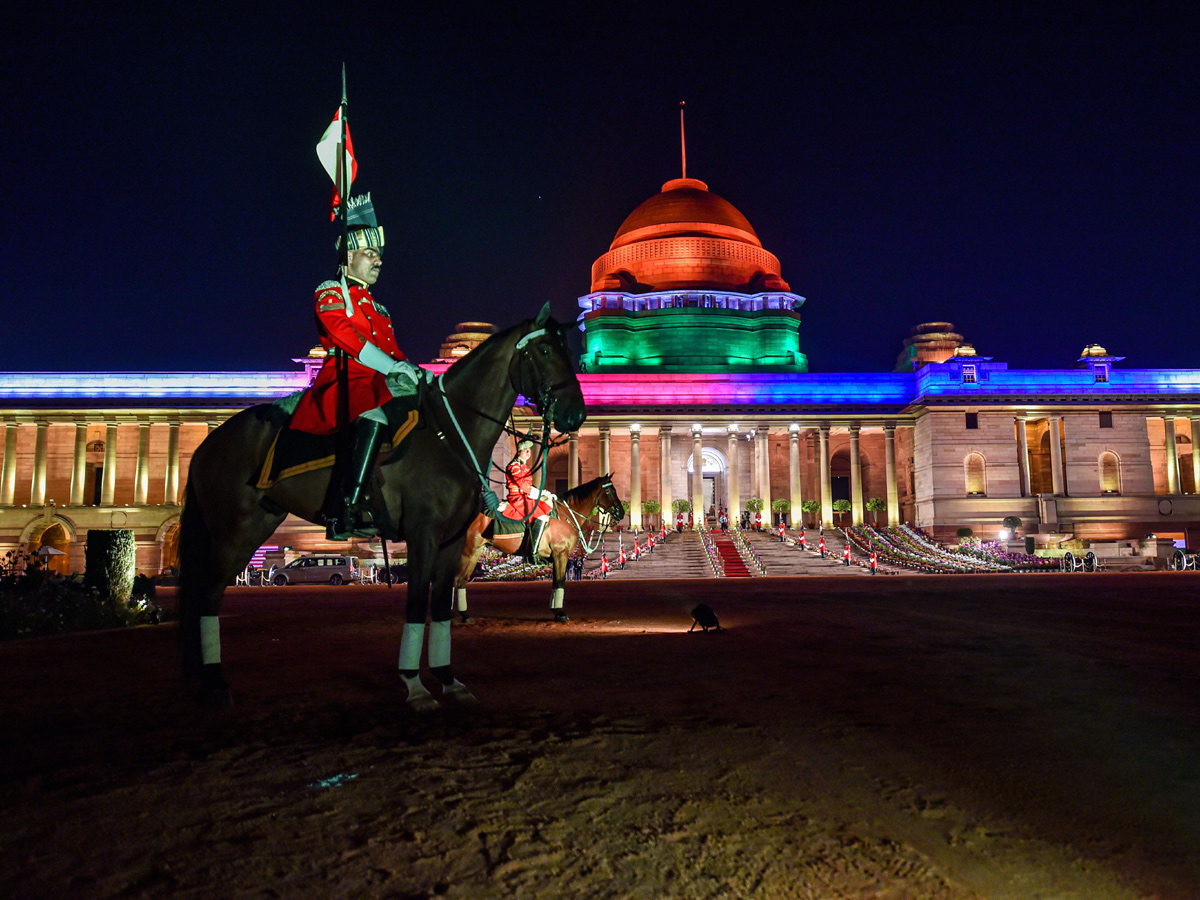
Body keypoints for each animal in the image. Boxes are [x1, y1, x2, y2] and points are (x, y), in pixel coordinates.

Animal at [178, 309, 585, 710]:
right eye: (545, 351)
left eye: (568, 352)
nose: (576, 416)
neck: (452, 436)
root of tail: (210, 441)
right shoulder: (423, 533)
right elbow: (416, 602)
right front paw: (414, 685)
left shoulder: (451, 539)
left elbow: (440, 606)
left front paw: (448, 679)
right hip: (232, 529)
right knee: (209, 593)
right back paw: (214, 683)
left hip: (257, 523)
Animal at [451, 475, 628, 624]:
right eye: (611, 491)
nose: (621, 512)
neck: (566, 515)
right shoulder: (560, 554)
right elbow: (560, 581)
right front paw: (561, 614)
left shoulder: (558, 557)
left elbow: (555, 583)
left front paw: (556, 611)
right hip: (467, 553)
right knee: (455, 580)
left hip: (475, 553)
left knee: (462, 581)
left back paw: (465, 615)